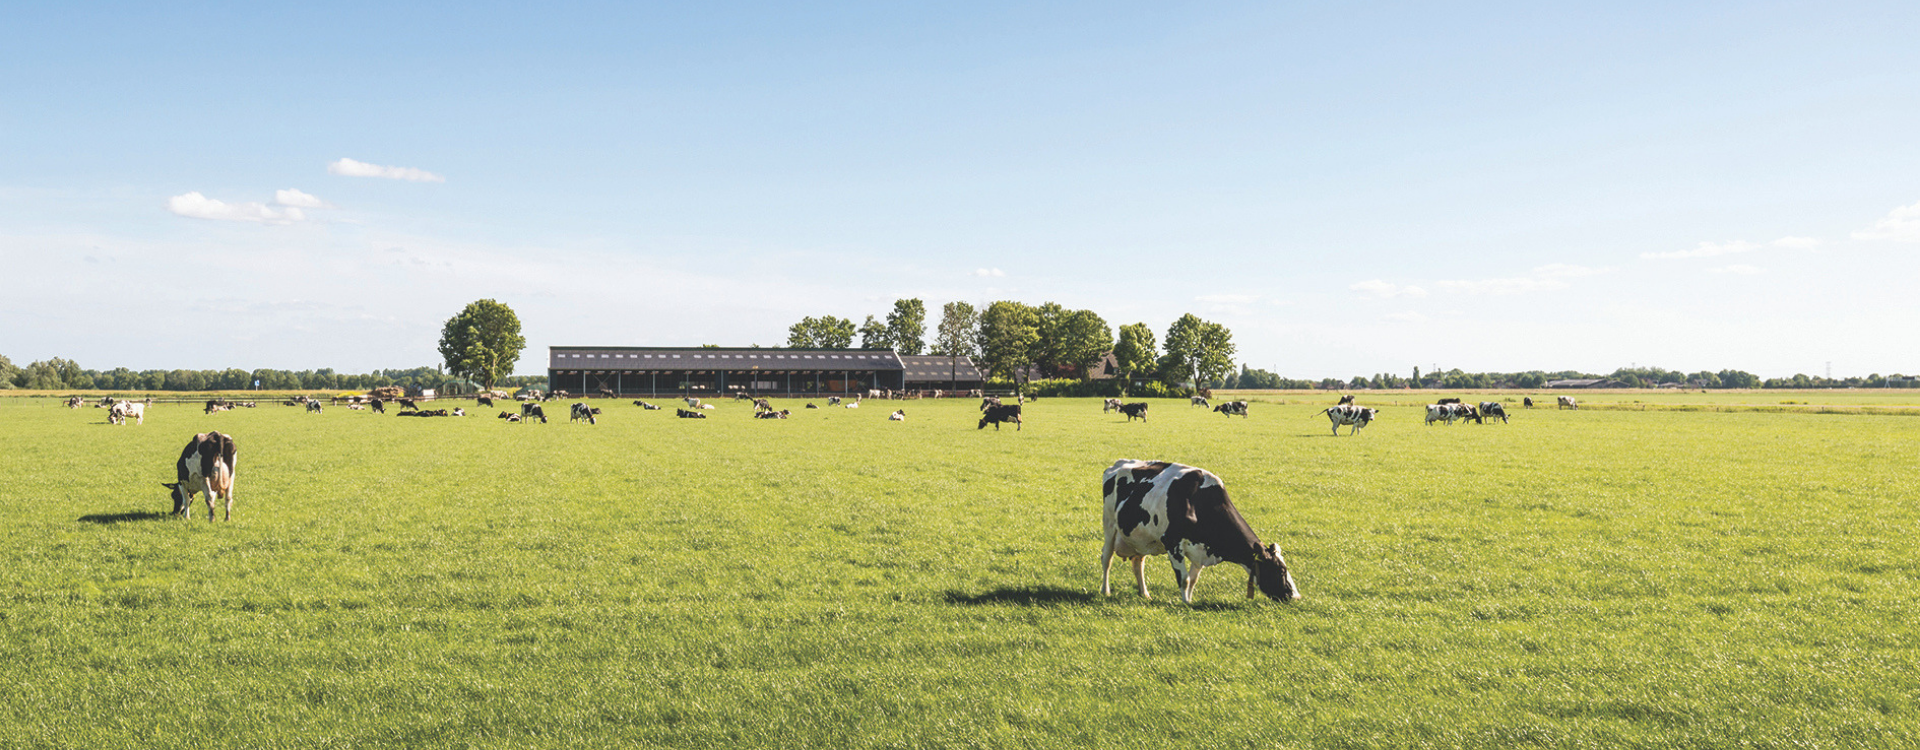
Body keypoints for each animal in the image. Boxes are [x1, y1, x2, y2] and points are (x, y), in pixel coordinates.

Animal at [1098, 460, 1305, 606]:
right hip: (1109, 526)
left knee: (1138, 564)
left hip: (1140, 538)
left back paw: (1145, 594)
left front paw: (1189, 600)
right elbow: (1183, 579)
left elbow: (1193, 579)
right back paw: (1105, 590)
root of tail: (1117, 464)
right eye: (1281, 570)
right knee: (1106, 559)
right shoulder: (1172, 543)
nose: (1296, 596)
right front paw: (1185, 603)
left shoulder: (1202, 550)